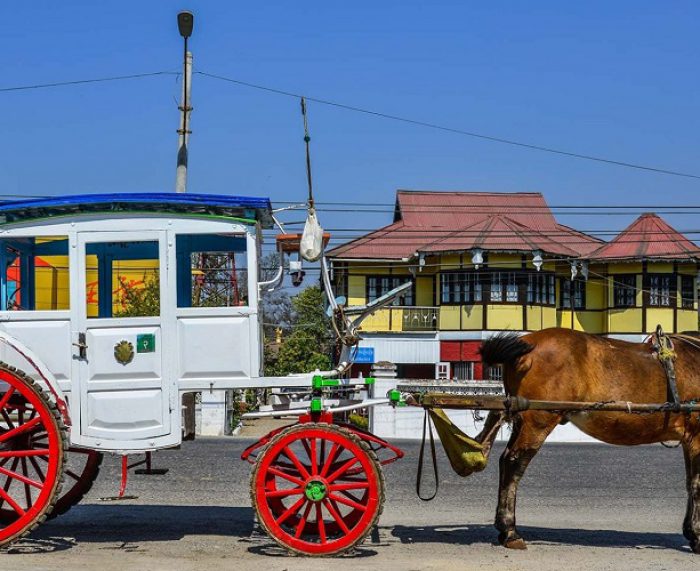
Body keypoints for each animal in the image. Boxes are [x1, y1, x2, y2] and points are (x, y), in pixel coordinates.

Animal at [478, 326, 700, 556]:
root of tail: (527, 343)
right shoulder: (697, 435)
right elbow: (697, 484)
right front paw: (697, 536)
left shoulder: (689, 438)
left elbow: (690, 482)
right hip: (538, 419)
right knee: (514, 463)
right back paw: (510, 531)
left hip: (522, 418)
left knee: (506, 459)